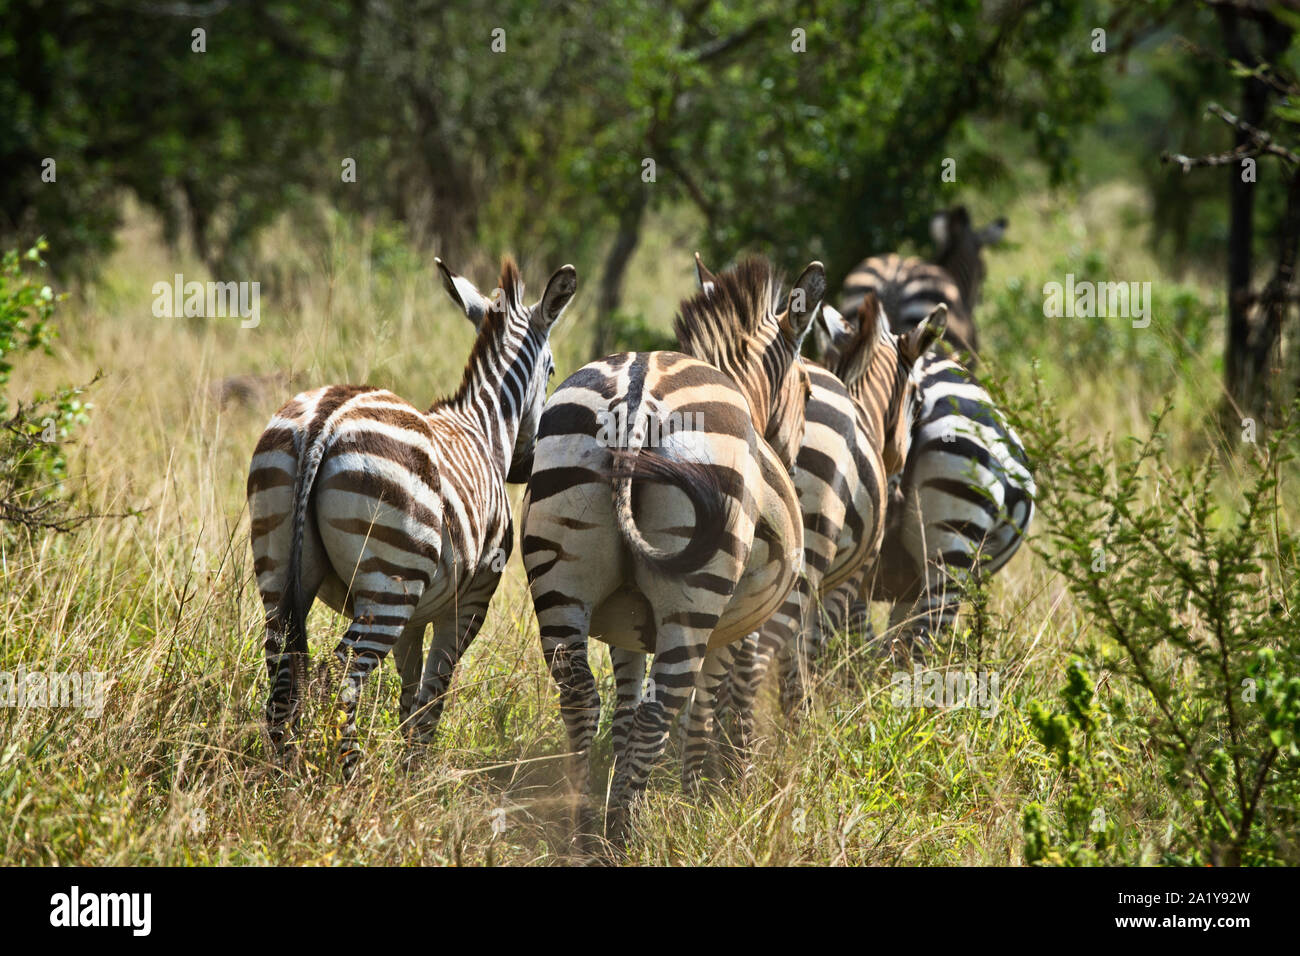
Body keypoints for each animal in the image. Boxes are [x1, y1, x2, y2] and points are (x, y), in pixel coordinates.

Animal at [246, 257, 577, 772]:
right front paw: (416, 770)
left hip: (280, 564)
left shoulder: (418, 615)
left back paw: (281, 772)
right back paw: (350, 772)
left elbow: (409, 692)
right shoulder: (469, 602)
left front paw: (405, 769)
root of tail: (325, 418)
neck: (484, 428)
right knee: (340, 675)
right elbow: (434, 691)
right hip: (389, 583)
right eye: (553, 368)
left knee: (283, 671)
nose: (525, 468)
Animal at [520, 256, 822, 842]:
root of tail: (635, 399)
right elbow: (718, 700)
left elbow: (625, 712)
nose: (793, 465)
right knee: (661, 710)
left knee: (580, 696)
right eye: (809, 392)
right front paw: (714, 790)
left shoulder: (628, 626)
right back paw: (624, 834)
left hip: (561, 577)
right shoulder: (734, 625)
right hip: (695, 597)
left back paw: (585, 825)